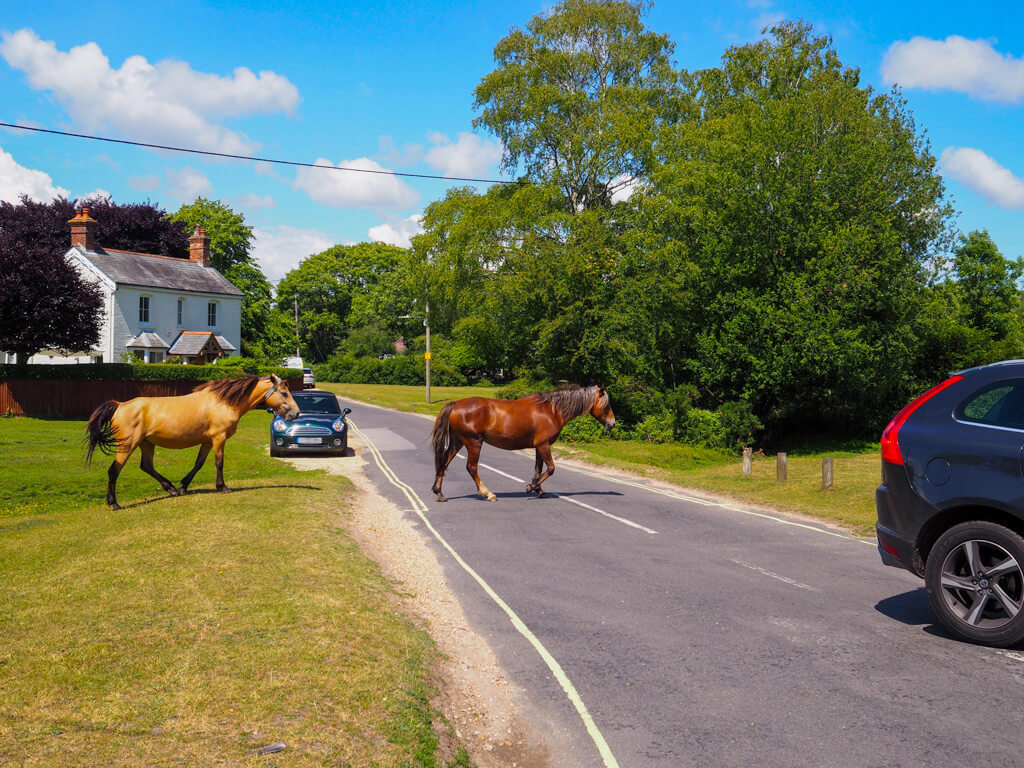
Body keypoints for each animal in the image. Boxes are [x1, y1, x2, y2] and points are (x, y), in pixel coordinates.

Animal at [86, 374, 299, 512]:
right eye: (284, 393)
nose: (296, 413)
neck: (223, 403)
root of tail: (120, 405)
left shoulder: (207, 441)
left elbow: (199, 463)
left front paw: (183, 487)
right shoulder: (219, 438)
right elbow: (219, 463)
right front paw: (222, 487)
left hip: (146, 444)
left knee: (146, 466)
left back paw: (171, 489)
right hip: (127, 446)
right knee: (114, 471)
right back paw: (114, 504)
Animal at [430, 385, 614, 505]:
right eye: (606, 405)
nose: (612, 423)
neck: (552, 410)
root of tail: (456, 404)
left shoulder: (539, 447)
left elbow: (539, 469)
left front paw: (539, 490)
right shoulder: (544, 445)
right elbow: (551, 469)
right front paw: (531, 487)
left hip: (458, 442)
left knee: (444, 463)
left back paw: (439, 492)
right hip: (473, 443)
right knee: (471, 467)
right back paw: (488, 493)